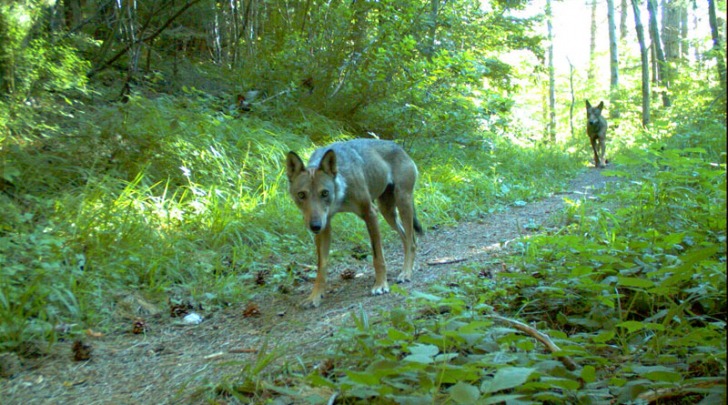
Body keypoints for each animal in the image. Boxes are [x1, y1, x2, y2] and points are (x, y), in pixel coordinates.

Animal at [284, 139, 420, 306]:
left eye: (325, 193)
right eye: (302, 195)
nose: (315, 226)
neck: (340, 195)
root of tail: (400, 147)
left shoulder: (370, 214)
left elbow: (378, 258)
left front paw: (380, 285)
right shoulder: (325, 226)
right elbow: (321, 268)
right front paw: (314, 297)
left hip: (402, 203)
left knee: (412, 242)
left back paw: (406, 273)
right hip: (387, 211)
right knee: (407, 238)